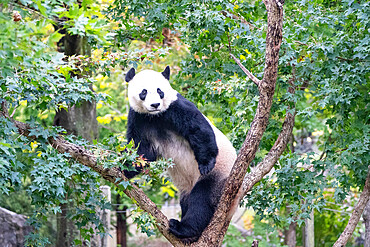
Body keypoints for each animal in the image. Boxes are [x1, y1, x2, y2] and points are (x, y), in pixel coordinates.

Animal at [123, 65, 236, 243]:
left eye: (160, 91)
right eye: (144, 92)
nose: (155, 104)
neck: (155, 117)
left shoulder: (175, 107)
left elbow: (198, 129)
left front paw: (206, 162)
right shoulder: (139, 117)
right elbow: (141, 151)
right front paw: (125, 168)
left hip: (221, 175)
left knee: (202, 198)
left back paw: (183, 228)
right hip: (186, 187)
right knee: (187, 201)